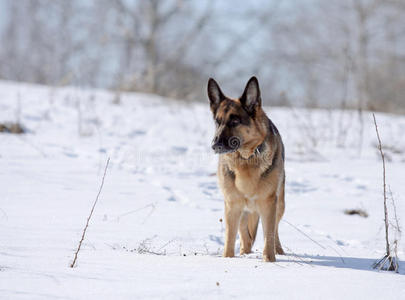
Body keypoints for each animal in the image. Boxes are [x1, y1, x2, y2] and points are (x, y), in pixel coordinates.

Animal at [208, 76, 284, 262]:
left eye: (235, 121)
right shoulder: (232, 204)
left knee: (275, 229)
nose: (214, 145)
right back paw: (244, 251)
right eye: (218, 122)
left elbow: (269, 235)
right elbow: (230, 238)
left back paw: (279, 250)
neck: (246, 158)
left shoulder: (268, 203)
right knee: (244, 233)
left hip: (280, 204)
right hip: (242, 208)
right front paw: (228, 259)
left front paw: (269, 261)